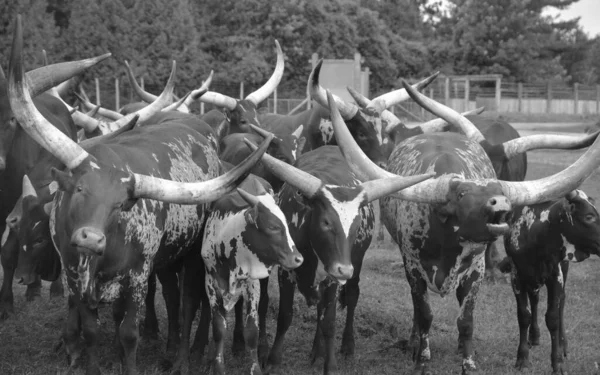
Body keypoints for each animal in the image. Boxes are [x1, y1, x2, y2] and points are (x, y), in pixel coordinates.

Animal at [330, 80, 600, 375]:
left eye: (498, 187)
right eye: (461, 195)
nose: (502, 203)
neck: (445, 239)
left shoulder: (475, 271)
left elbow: (466, 319)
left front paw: (468, 362)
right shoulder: (412, 268)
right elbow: (424, 315)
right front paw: (421, 359)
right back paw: (413, 343)